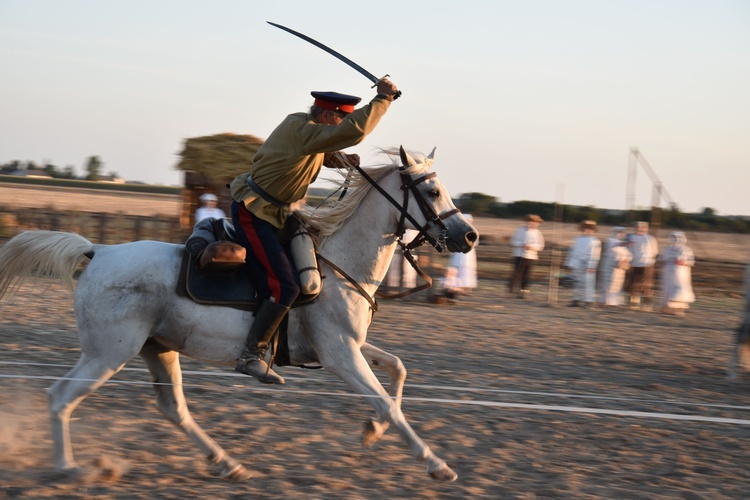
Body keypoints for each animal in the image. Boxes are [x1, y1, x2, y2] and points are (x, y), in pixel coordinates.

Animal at [0, 146, 478, 482]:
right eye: (432, 191)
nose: (469, 235)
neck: (339, 263)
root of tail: (97, 252)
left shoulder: (347, 346)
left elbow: (396, 371)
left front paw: (371, 430)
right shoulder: (341, 354)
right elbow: (388, 404)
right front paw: (436, 464)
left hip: (158, 350)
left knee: (174, 410)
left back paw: (227, 462)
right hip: (108, 355)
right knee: (61, 398)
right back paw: (69, 468)